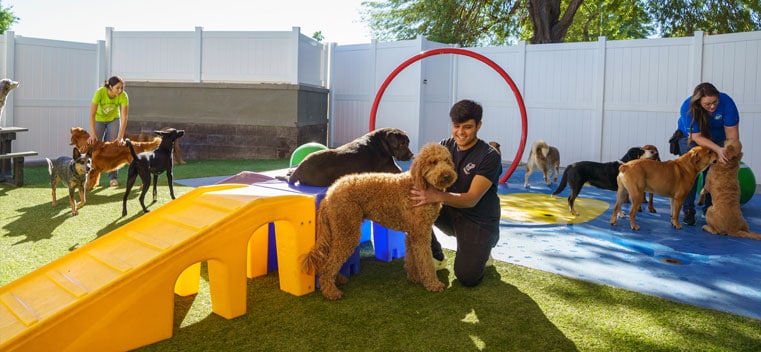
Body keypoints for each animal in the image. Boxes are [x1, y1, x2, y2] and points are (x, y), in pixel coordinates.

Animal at [284, 127, 412, 187]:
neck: (381, 142)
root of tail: (300, 169)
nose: (411, 155)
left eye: (408, 142)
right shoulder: (394, 169)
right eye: (402, 143)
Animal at [302, 143, 458, 300]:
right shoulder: (421, 233)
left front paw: (415, 278)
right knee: (329, 264)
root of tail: (330, 193)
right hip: (347, 231)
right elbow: (426, 260)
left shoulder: (413, 233)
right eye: (433, 162)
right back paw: (331, 291)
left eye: (447, 161)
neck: (419, 185)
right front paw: (433, 284)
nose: (446, 175)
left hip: (338, 230)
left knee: (328, 259)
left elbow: (413, 258)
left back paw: (338, 280)